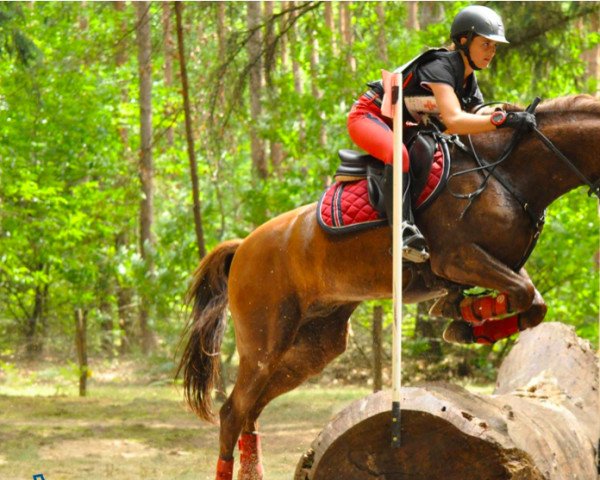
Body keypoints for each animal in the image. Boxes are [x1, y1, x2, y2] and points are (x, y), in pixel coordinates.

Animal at [176, 94, 596, 480]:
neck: (508, 173)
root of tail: (244, 246)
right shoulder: (457, 258)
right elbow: (524, 296)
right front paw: (467, 320)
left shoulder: (493, 267)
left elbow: (533, 302)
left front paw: (465, 318)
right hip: (264, 341)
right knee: (233, 412)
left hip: (313, 346)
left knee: (252, 409)